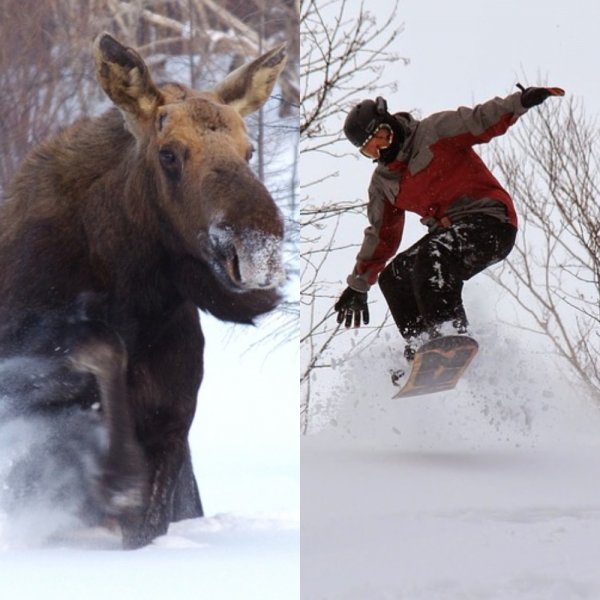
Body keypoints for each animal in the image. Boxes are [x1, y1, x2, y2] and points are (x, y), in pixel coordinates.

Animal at [0, 32, 288, 548]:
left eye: (249, 149)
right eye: (168, 153)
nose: (259, 247)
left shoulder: (172, 427)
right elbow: (101, 345)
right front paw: (117, 473)